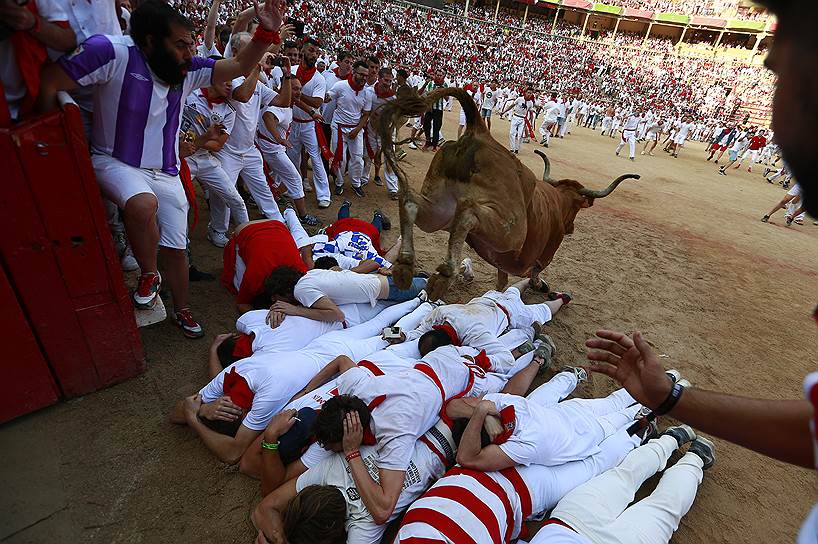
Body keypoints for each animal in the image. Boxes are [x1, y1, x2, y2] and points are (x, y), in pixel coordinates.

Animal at [372, 89, 636, 302]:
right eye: (578, 207)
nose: (571, 228)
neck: (558, 202)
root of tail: (480, 132)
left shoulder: (502, 261)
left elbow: (502, 279)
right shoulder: (542, 253)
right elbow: (536, 271)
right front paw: (538, 284)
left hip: (439, 212)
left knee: (411, 203)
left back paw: (405, 266)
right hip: (510, 232)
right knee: (468, 212)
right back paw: (444, 275)